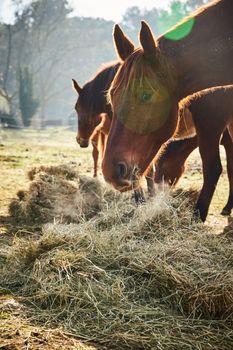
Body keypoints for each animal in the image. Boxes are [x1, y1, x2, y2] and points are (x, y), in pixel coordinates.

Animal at [102, 1, 233, 221]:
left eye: (146, 95)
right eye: (111, 96)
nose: (112, 171)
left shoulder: (211, 120)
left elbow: (212, 167)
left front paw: (197, 217)